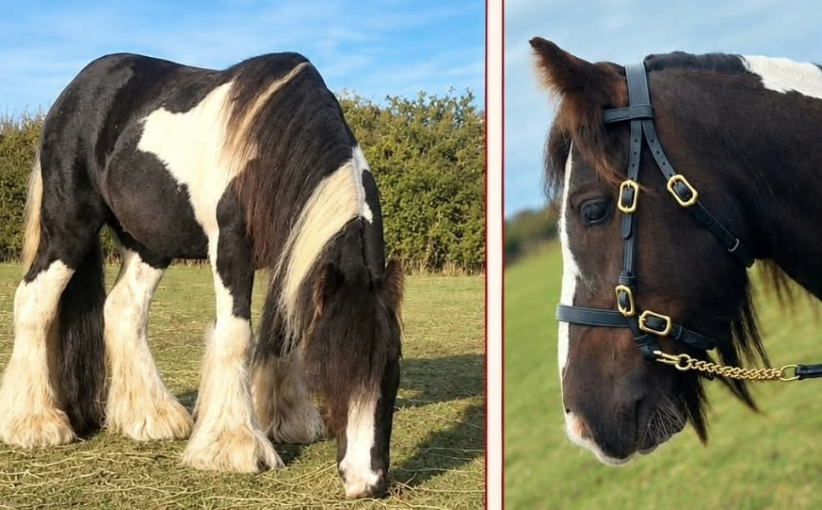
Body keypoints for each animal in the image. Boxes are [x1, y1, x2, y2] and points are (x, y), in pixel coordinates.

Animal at [0, 51, 404, 499]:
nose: (367, 482)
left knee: (123, 310)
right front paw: (236, 446)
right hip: (69, 227)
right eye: (330, 370)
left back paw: (152, 417)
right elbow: (236, 337)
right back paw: (33, 424)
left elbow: (284, 335)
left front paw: (289, 421)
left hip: (149, 245)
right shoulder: (230, 248)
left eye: (392, 366)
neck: (270, 141)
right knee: (34, 302)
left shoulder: (288, 255)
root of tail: (75, 89)